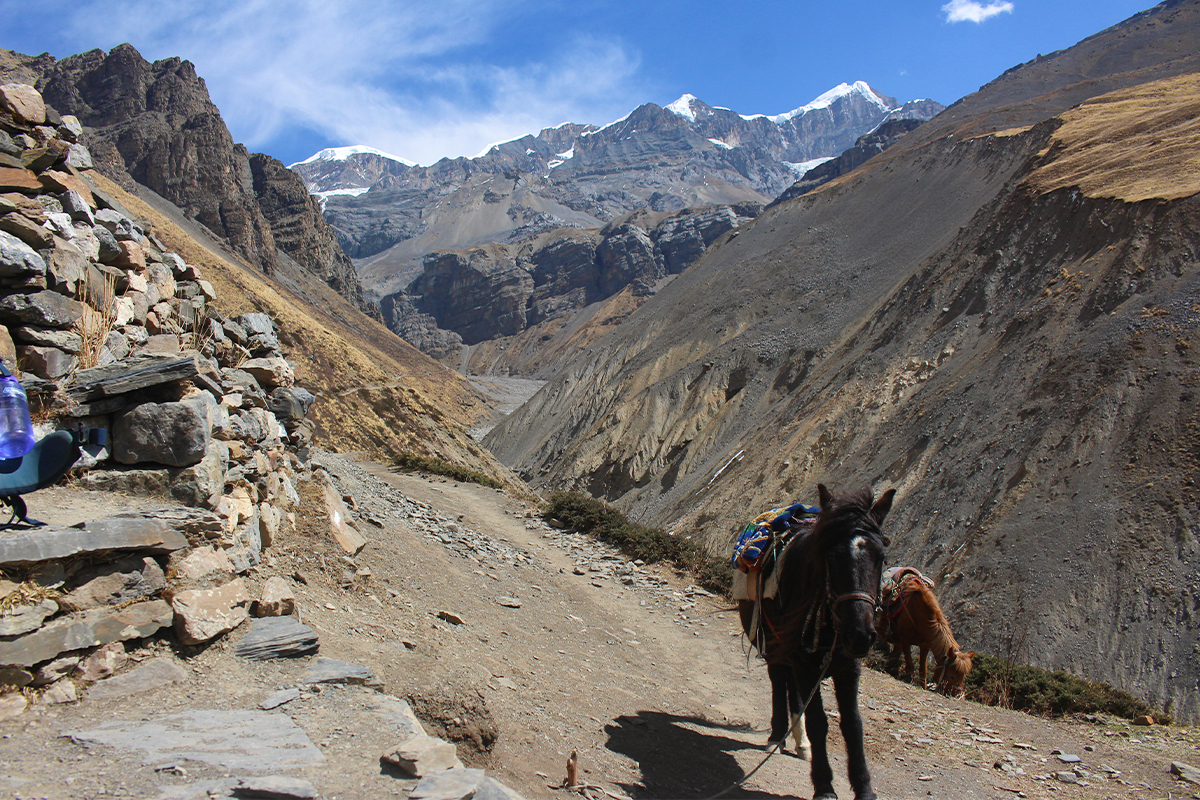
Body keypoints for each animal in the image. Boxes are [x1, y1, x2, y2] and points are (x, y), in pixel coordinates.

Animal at [768, 484, 892, 796]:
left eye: (881, 557)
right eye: (831, 557)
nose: (859, 635)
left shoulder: (849, 667)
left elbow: (853, 725)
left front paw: (864, 787)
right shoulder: (805, 664)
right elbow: (819, 722)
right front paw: (824, 785)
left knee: (792, 690)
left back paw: (801, 744)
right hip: (774, 643)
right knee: (778, 682)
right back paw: (777, 736)